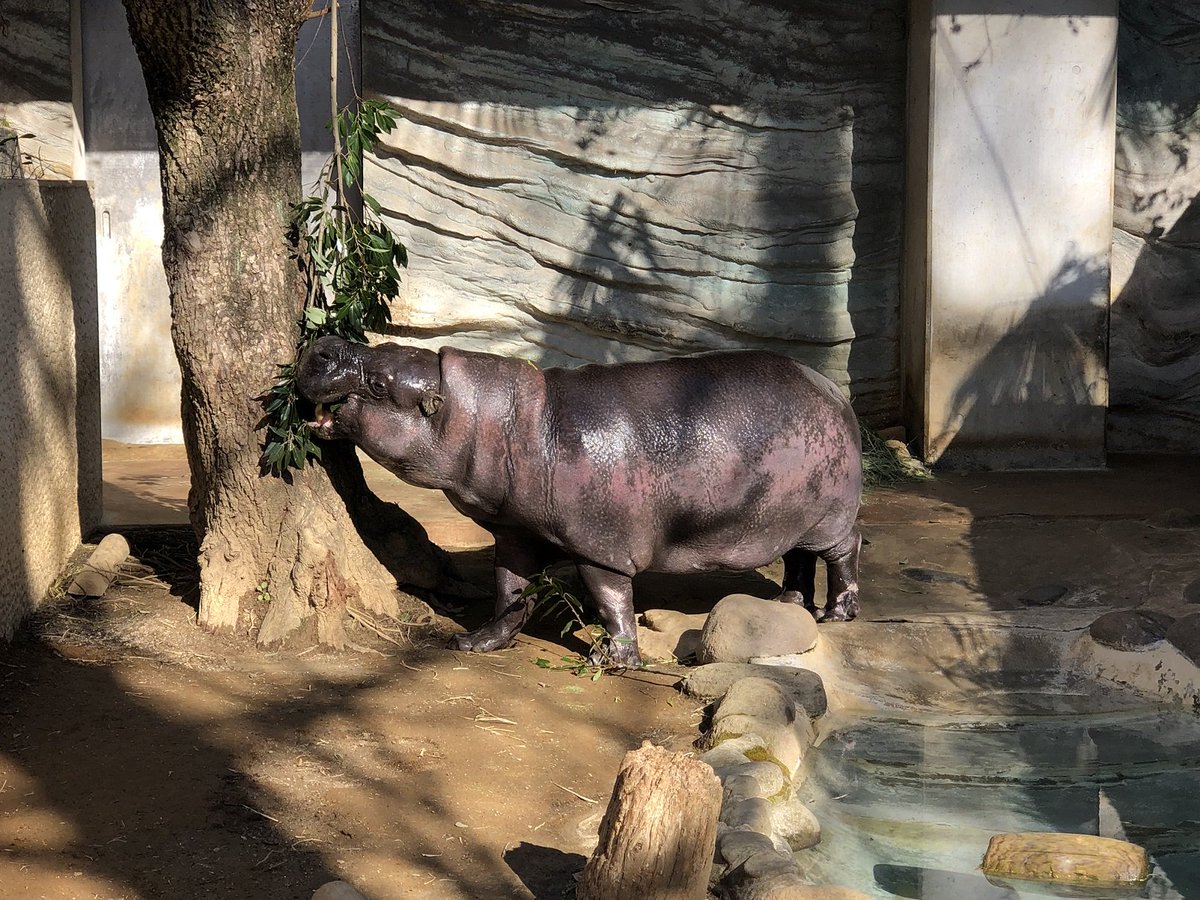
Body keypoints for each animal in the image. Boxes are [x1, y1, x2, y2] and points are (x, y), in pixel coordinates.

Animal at [298, 336, 864, 667]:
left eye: (378, 384)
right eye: (385, 341)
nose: (323, 343)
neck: (503, 421)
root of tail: (836, 391)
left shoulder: (601, 546)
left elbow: (612, 600)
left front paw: (611, 660)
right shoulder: (517, 532)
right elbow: (509, 590)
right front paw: (475, 643)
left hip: (832, 517)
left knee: (846, 551)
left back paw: (837, 614)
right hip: (790, 518)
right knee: (797, 557)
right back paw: (789, 603)